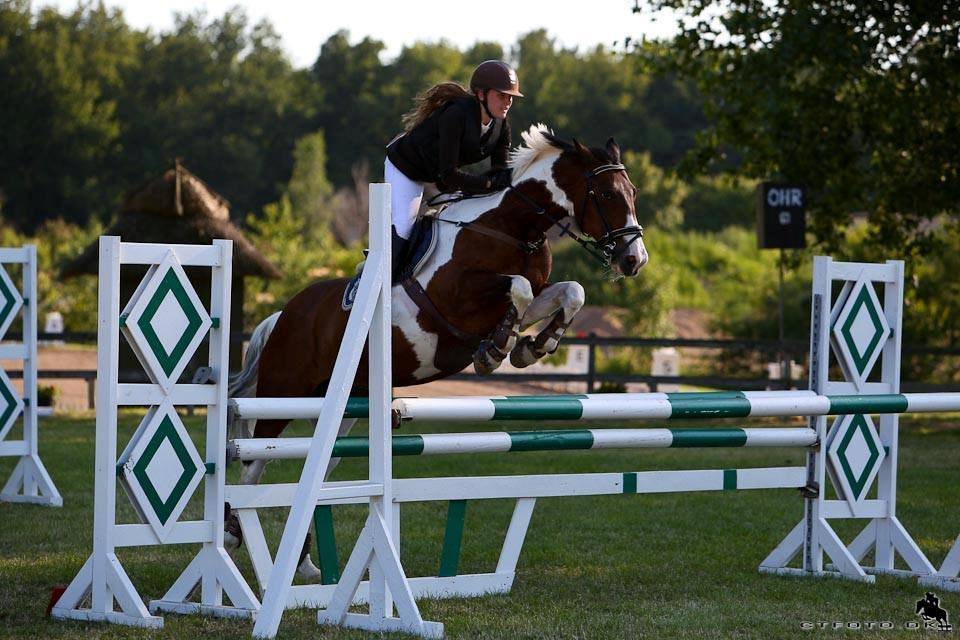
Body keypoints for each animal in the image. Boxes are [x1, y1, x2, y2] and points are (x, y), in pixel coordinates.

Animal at [226, 124, 649, 578]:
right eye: (607, 195)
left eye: (633, 193)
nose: (634, 260)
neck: (511, 228)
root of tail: (282, 315)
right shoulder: (457, 300)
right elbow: (517, 286)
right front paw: (498, 348)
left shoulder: (531, 293)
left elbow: (569, 292)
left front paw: (532, 347)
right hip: (282, 394)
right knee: (252, 464)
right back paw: (233, 535)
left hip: (343, 408)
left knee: (312, 469)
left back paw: (304, 565)